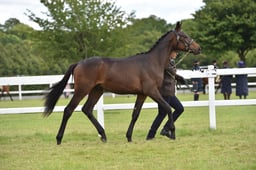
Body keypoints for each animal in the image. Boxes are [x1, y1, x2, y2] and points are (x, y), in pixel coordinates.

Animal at [43, 21, 201, 145]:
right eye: (185, 36)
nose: (198, 48)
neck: (152, 62)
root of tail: (78, 63)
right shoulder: (152, 91)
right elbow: (167, 108)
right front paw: (172, 133)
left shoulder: (142, 94)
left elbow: (135, 114)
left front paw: (129, 137)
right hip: (82, 90)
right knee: (68, 110)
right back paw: (59, 138)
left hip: (97, 90)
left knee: (87, 109)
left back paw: (103, 135)